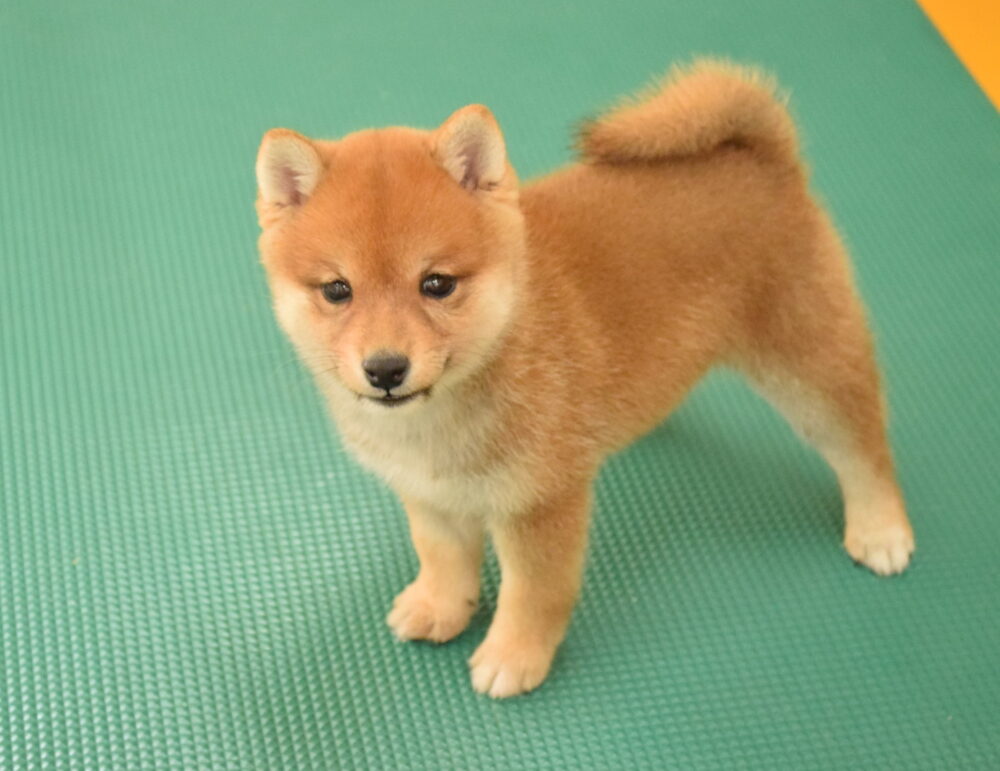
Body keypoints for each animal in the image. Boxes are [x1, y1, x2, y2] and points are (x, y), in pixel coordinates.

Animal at [254, 60, 914, 698]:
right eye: (337, 290)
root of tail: (761, 158)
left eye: (436, 284)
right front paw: (442, 606)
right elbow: (443, 560)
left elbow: (533, 594)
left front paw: (514, 655)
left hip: (810, 368)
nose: (385, 368)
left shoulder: (539, 505)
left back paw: (881, 528)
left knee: (863, 448)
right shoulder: (430, 497)